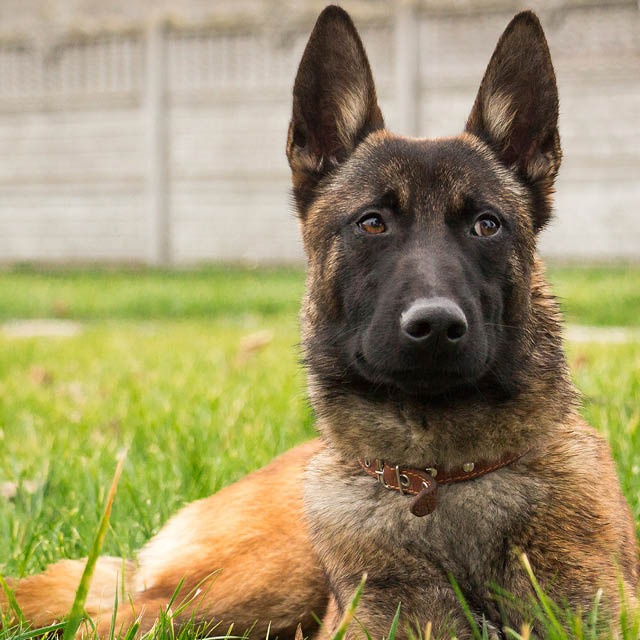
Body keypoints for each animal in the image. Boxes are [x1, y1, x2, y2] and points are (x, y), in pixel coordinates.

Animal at [2, 5, 636, 640]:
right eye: (372, 222)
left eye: (487, 224)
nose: (435, 325)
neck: (439, 477)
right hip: (244, 594)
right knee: (110, 619)